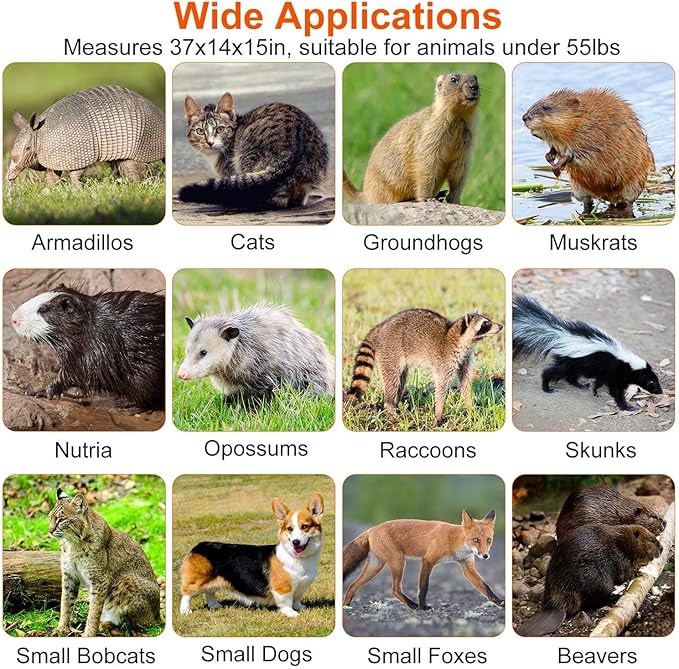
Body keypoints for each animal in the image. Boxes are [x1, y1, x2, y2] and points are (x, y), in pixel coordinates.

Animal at [343, 509, 503, 610]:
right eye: (476, 540)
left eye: (488, 540)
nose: (485, 556)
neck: (455, 541)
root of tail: (372, 529)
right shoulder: (428, 560)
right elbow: (424, 587)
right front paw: (423, 607)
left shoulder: (467, 565)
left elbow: (485, 587)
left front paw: (500, 603)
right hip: (398, 561)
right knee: (395, 589)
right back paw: (413, 606)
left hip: (376, 565)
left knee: (352, 586)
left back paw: (346, 607)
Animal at [346, 308, 503, 423]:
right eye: (485, 324)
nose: (500, 326)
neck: (462, 340)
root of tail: (379, 328)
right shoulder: (445, 360)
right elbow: (441, 386)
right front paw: (439, 414)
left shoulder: (465, 359)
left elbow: (465, 383)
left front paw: (471, 410)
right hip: (390, 351)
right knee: (392, 380)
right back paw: (390, 407)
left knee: (400, 380)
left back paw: (396, 405)